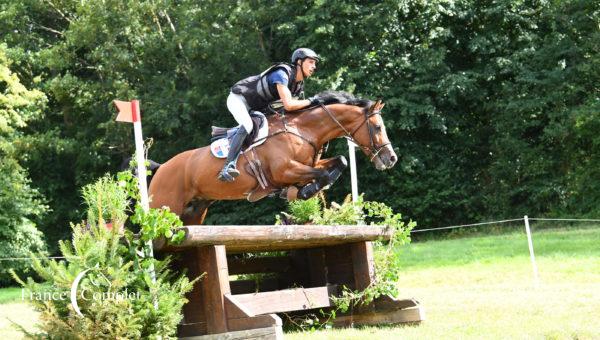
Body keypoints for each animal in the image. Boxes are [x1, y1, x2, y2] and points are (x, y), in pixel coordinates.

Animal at [147, 91, 396, 226]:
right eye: (377, 127)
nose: (391, 158)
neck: (301, 130)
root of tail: (162, 167)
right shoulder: (284, 170)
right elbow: (322, 174)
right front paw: (302, 191)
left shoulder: (307, 164)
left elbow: (340, 162)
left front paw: (301, 190)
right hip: (164, 208)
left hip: (194, 211)